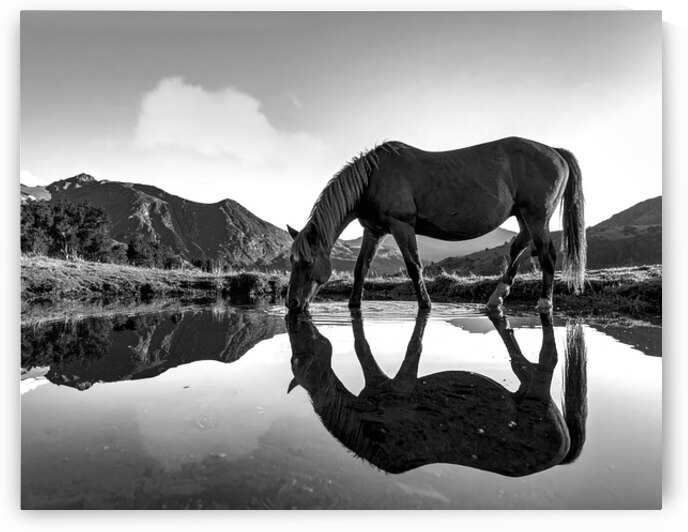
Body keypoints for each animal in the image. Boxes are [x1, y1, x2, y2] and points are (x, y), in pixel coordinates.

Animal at [286, 137, 586, 313]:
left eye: (306, 262)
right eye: (292, 261)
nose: (291, 304)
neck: (372, 178)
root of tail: (555, 152)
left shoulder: (401, 225)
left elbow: (413, 266)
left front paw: (426, 304)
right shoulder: (374, 231)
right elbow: (361, 268)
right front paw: (353, 305)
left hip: (536, 217)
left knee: (545, 254)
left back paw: (544, 303)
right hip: (524, 218)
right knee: (521, 248)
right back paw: (496, 297)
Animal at [286, 309, 588, 476]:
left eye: (302, 358)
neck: (367, 429)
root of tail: (563, 450)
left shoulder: (399, 384)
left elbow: (398, 348)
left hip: (537, 393)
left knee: (546, 363)